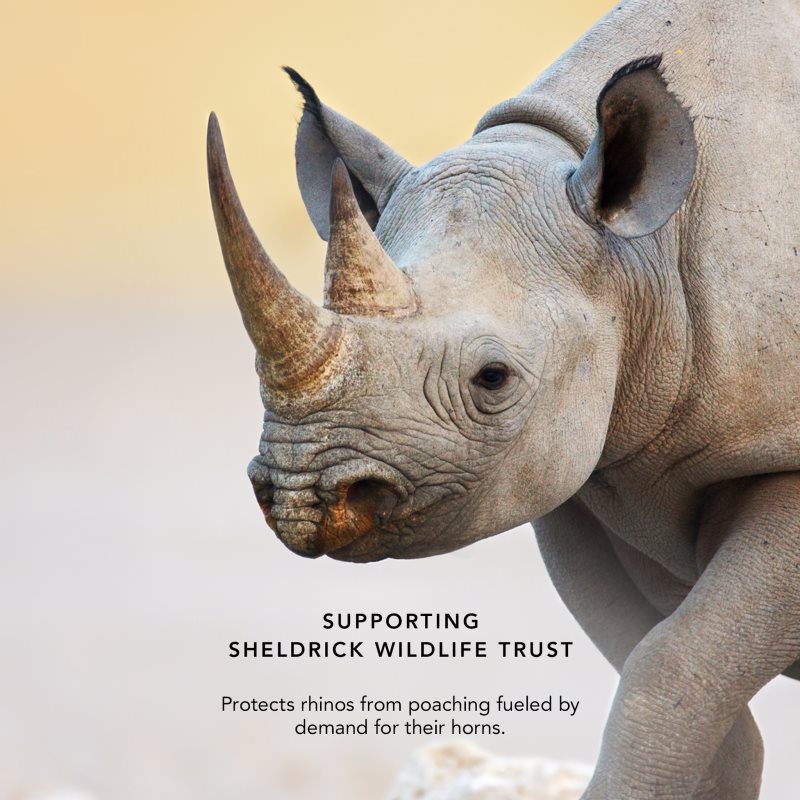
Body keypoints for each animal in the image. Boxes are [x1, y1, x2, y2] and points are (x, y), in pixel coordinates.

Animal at [207, 0, 800, 796]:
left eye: (493, 379)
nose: (302, 498)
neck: (642, 254)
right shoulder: (588, 467)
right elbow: (677, 678)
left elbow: (672, 668)